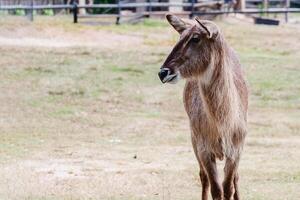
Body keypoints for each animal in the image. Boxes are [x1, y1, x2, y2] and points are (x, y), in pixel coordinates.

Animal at [159, 14, 248, 199]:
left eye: (195, 38)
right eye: (180, 36)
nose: (163, 72)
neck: (224, 122)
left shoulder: (235, 151)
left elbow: (228, 187)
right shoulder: (205, 150)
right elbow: (216, 189)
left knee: (236, 178)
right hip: (194, 141)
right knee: (203, 177)